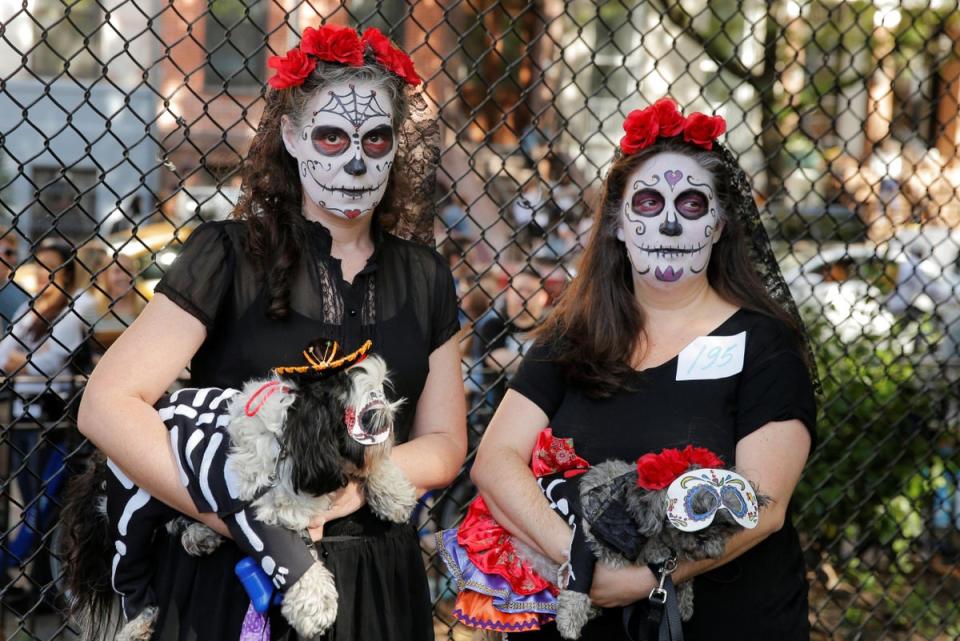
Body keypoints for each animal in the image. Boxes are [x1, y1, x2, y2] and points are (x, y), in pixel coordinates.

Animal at [61, 338, 416, 636]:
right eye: (370, 412)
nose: (390, 417)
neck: (293, 435)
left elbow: (373, 469)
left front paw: (393, 492)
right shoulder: (252, 512)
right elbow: (290, 559)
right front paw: (315, 605)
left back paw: (197, 531)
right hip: (131, 512)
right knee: (127, 572)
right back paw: (138, 621)